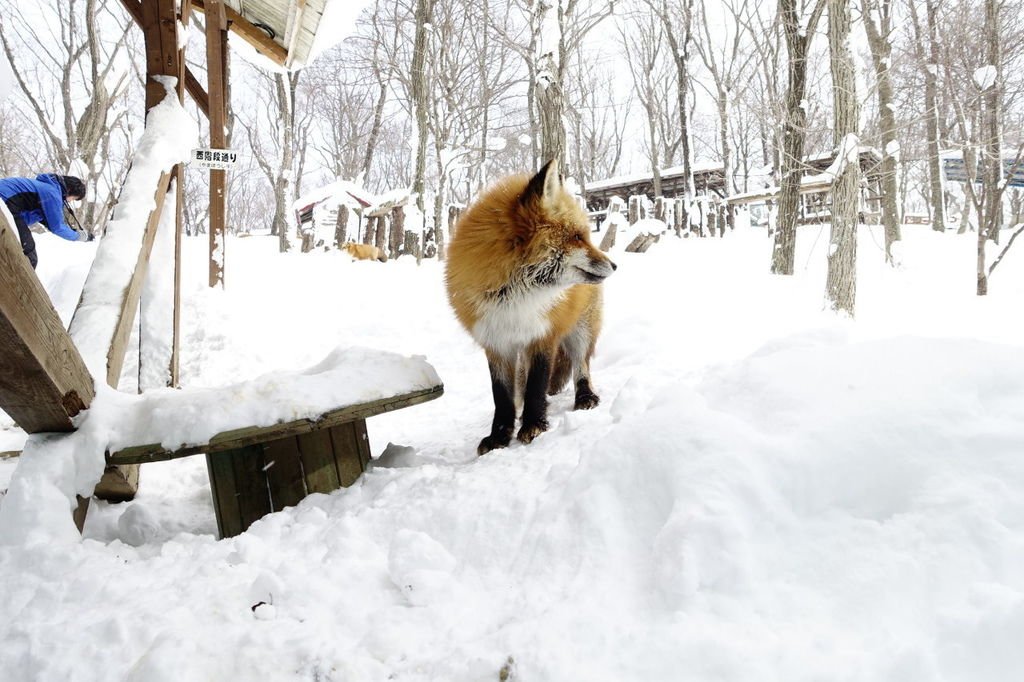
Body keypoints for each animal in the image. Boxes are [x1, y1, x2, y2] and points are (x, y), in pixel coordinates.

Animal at [446, 159, 614, 454]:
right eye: (577, 237)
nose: (615, 265)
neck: (512, 299)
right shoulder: (496, 343)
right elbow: (502, 396)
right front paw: (500, 436)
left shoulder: (543, 335)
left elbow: (537, 385)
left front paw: (533, 426)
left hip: (582, 331)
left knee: (581, 366)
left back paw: (585, 396)